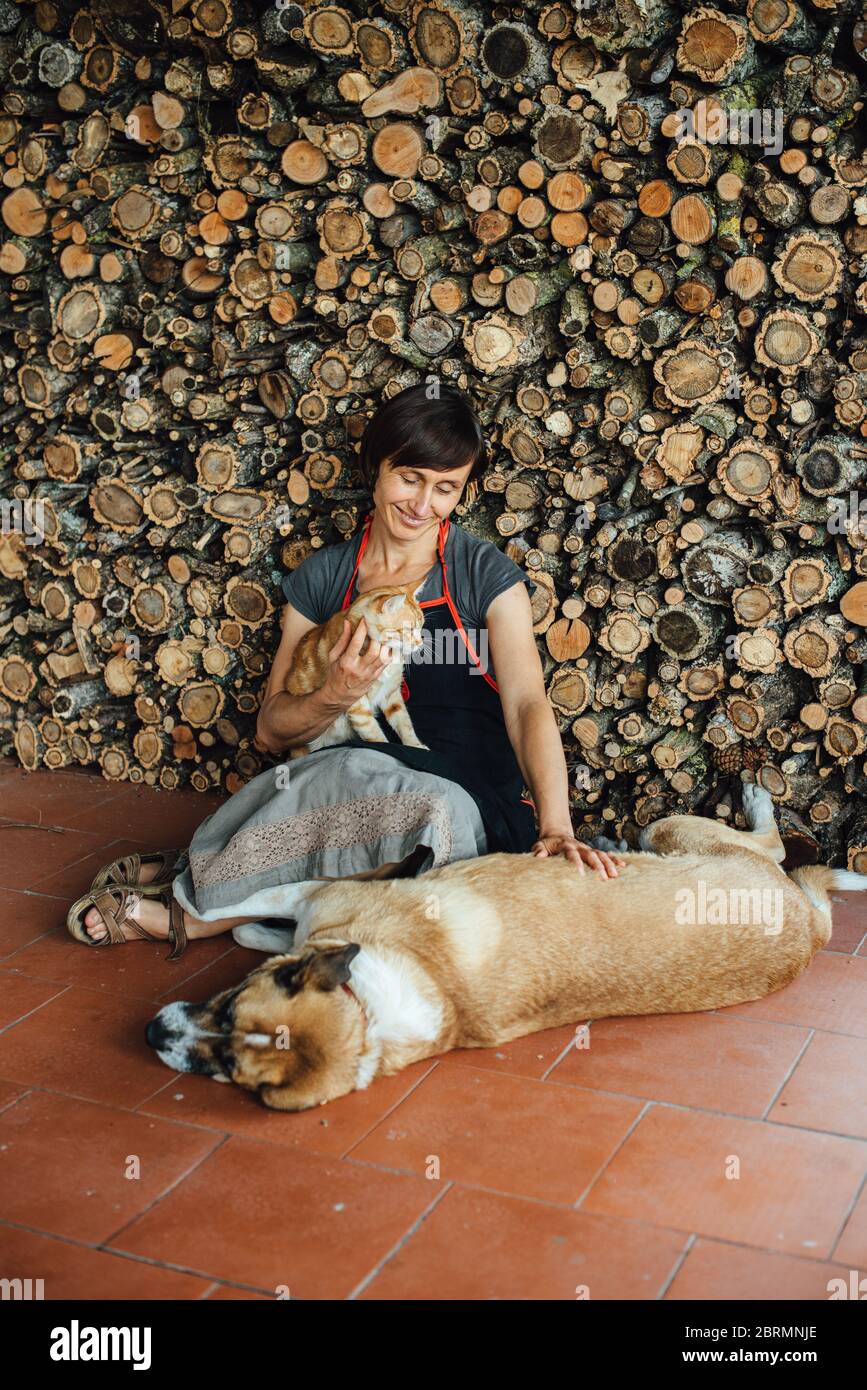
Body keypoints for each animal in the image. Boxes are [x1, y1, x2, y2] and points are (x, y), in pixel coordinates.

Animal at [145, 789, 861, 1112]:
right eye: (227, 1013)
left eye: (229, 1061)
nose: (152, 1034)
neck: (369, 1010)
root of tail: (809, 928)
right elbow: (252, 927)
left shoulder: (317, 892)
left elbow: (236, 919)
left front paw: (186, 905)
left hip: (674, 830)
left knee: (773, 842)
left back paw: (757, 798)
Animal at [284, 586, 430, 761]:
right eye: (409, 629)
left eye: (421, 627)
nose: (420, 643)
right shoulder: (355, 703)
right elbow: (375, 736)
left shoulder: (391, 693)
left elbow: (404, 721)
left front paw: (415, 745)